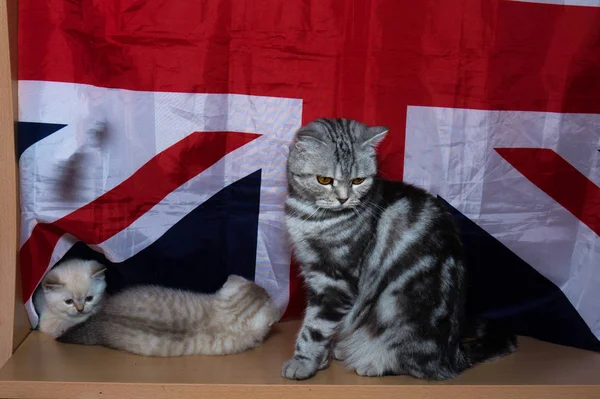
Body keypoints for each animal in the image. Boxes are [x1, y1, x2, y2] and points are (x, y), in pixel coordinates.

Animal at [282, 118, 516, 382]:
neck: (309, 216)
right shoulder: (313, 270)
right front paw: (321, 359)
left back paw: (370, 362)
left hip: (397, 311)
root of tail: (453, 354)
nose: (343, 199)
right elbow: (324, 327)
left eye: (357, 181)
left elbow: (315, 327)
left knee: (411, 363)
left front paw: (303, 362)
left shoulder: (335, 280)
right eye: (324, 180)